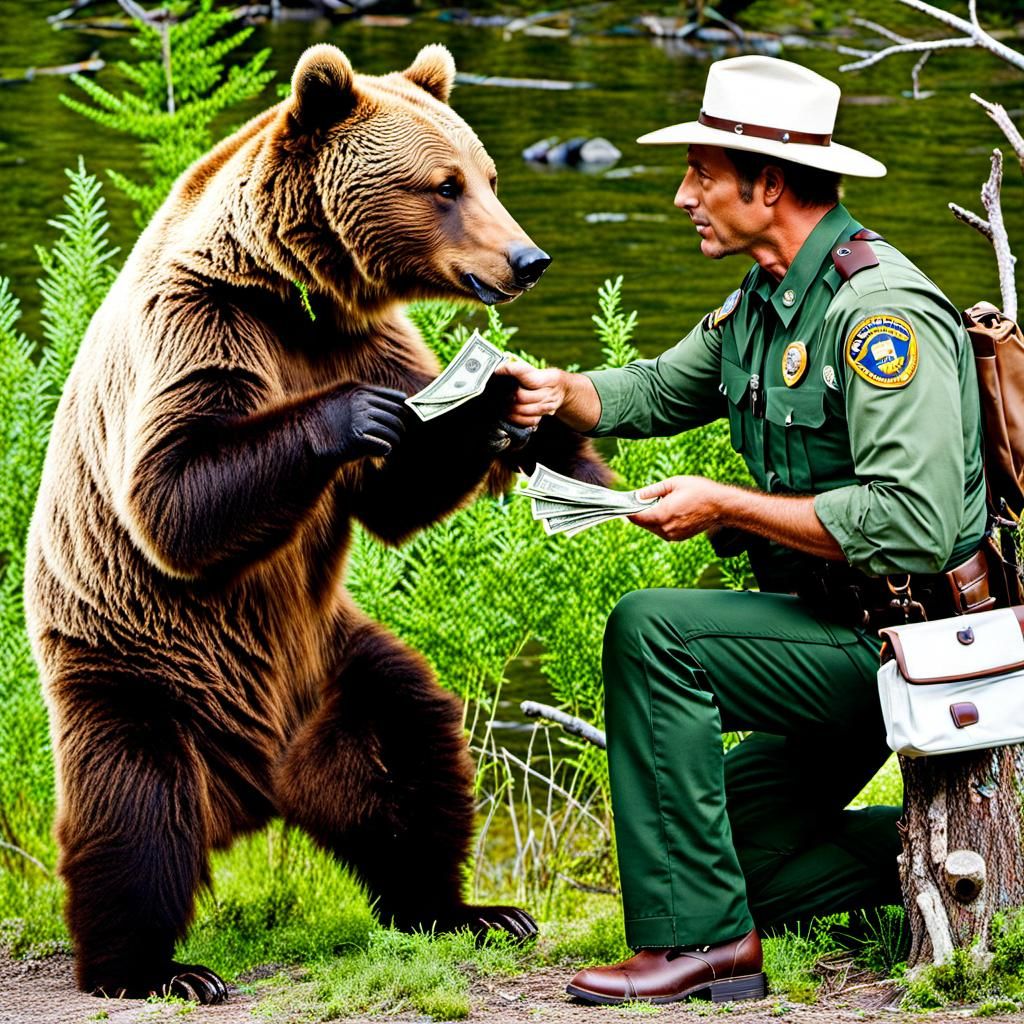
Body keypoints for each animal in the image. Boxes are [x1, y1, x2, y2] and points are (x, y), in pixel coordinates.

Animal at [24, 42, 608, 1004]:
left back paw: (468, 909)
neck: (294, 292)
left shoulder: (371, 337)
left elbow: (396, 498)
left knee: (413, 752)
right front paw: (360, 415)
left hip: (331, 670)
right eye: (443, 185)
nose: (528, 258)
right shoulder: (202, 329)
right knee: (135, 812)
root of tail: (255, 785)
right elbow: (173, 496)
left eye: (487, 175)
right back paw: (156, 969)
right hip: (135, 671)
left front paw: (503, 403)